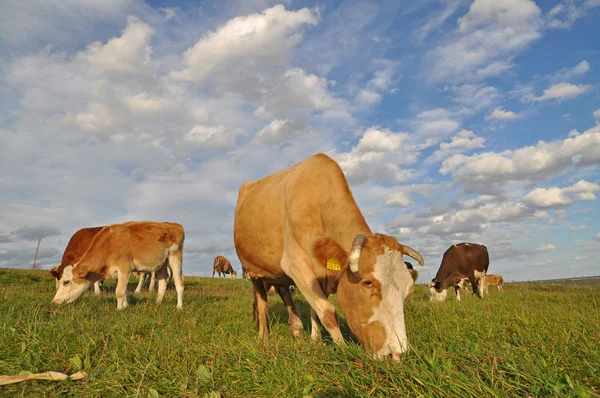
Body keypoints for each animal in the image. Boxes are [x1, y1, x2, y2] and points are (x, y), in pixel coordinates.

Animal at [51, 222, 185, 310]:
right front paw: (125, 306)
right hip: (161, 263)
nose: (54, 301)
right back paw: (158, 303)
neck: (109, 244)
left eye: (66, 282)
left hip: (175, 257)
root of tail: (175, 225)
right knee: (163, 281)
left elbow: (119, 291)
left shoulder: (124, 268)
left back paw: (179, 307)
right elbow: (124, 290)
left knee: (179, 283)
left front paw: (119, 309)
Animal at [232, 153, 424, 360]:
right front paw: (344, 351)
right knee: (262, 303)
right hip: (253, 271)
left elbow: (315, 309)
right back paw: (263, 337)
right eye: (368, 282)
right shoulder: (295, 265)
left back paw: (296, 328)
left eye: (409, 290)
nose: (396, 354)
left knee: (284, 290)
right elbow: (327, 312)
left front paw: (314, 342)